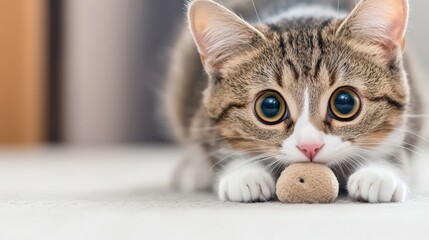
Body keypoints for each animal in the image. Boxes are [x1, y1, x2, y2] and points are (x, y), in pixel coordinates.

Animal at [164, 0, 422, 202]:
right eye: (270, 107)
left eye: (344, 102)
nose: (310, 147)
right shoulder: (203, 118)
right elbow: (222, 147)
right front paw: (245, 174)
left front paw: (379, 174)